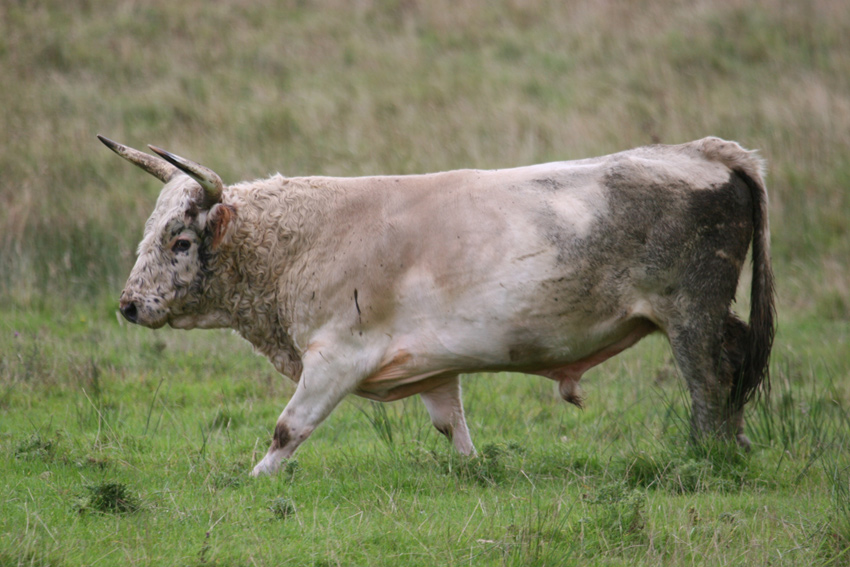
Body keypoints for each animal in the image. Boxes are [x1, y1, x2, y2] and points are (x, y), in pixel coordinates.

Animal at [99, 134, 775, 476]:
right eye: (149, 232)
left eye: (180, 241)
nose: (129, 305)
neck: (301, 238)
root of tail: (711, 150)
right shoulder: (434, 364)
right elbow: (454, 425)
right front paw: (475, 470)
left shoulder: (335, 357)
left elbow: (289, 427)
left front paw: (253, 482)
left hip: (691, 316)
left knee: (711, 382)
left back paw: (710, 457)